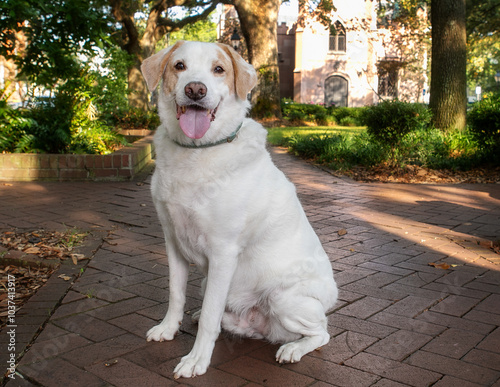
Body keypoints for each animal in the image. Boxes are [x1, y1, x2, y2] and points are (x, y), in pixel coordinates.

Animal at [139, 41, 338, 378]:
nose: (195, 90)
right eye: (179, 66)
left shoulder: (222, 253)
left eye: (219, 69)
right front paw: (168, 328)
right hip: (212, 284)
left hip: (283, 298)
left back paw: (293, 349)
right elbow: (176, 294)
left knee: (322, 332)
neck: (198, 151)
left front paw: (196, 360)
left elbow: (210, 318)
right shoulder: (173, 242)